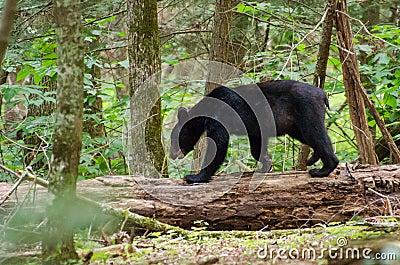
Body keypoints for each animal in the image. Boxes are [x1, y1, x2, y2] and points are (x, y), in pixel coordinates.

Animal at [170, 80, 340, 183]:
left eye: (173, 139)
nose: (171, 155)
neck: (207, 110)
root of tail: (322, 94)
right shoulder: (255, 128)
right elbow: (256, 146)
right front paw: (265, 164)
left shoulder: (220, 116)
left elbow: (218, 144)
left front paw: (195, 177)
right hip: (294, 125)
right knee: (309, 137)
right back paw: (313, 158)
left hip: (307, 111)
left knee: (316, 135)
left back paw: (322, 170)